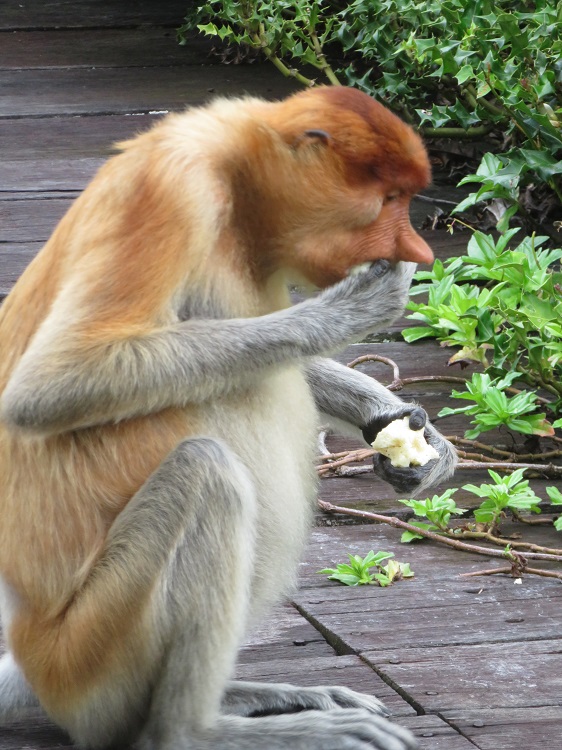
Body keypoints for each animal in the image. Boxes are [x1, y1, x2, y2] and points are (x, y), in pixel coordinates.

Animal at [0, 85, 456, 750]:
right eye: (389, 198)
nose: (416, 250)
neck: (237, 188)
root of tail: (32, 656)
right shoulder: (170, 193)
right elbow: (48, 388)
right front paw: (357, 306)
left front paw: (408, 433)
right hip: (89, 656)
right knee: (206, 471)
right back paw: (203, 729)